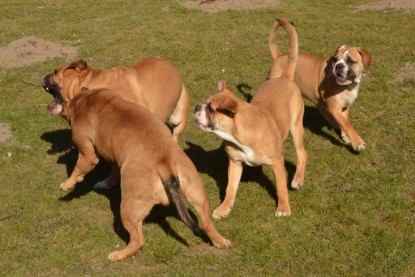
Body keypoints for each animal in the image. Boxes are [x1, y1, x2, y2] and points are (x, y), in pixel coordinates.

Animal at [60, 87, 232, 260]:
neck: (87, 98)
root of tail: (165, 161)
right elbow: (114, 170)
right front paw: (106, 183)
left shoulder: (87, 154)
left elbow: (78, 169)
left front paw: (67, 185)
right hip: (198, 194)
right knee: (206, 222)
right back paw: (220, 241)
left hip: (128, 208)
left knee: (138, 240)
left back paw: (119, 255)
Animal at [194, 19, 306, 218]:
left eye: (211, 109)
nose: (197, 107)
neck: (238, 134)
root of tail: (284, 77)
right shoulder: (235, 163)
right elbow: (230, 188)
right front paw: (224, 208)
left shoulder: (277, 162)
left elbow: (281, 188)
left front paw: (283, 208)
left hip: (296, 127)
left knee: (302, 154)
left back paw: (298, 179)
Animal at [268, 23, 376, 152]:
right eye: (335, 60)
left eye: (351, 61)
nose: (338, 65)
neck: (348, 86)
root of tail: (279, 56)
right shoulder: (335, 108)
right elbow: (348, 125)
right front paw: (357, 142)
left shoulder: (345, 107)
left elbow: (345, 122)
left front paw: (345, 135)